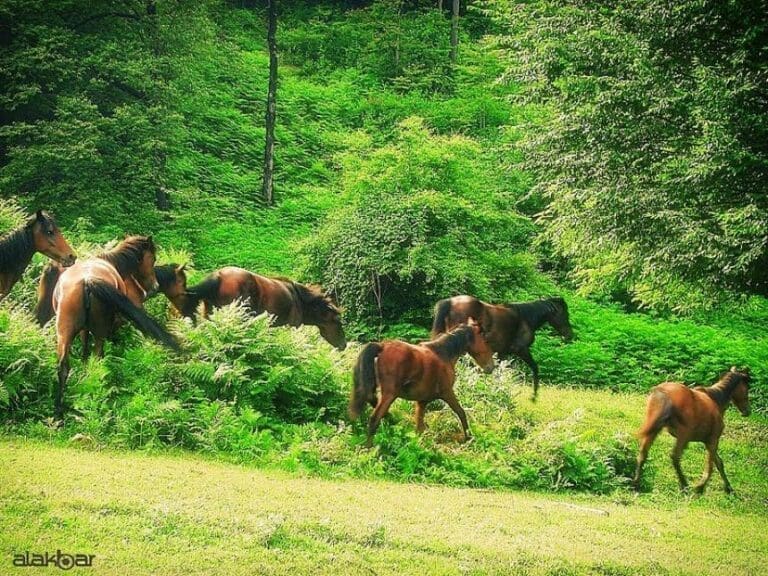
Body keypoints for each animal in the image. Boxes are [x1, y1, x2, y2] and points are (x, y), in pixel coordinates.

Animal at [52, 236, 180, 418]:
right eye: (153, 258)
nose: (155, 287)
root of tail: (87, 281)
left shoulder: (84, 329)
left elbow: (84, 350)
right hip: (99, 333)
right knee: (97, 359)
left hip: (64, 334)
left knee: (63, 367)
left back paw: (59, 410)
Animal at [349, 319, 495, 448]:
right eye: (485, 340)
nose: (491, 367)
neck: (443, 354)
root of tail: (382, 346)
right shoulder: (447, 392)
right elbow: (461, 412)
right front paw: (469, 438)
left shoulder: (422, 401)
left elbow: (419, 426)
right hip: (390, 394)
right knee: (374, 418)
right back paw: (369, 448)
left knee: (372, 400)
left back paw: (392, 421)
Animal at [431, 295, 573, 398]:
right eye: (565, 314)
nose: (569, 335)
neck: (525, 318)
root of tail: (450, 302)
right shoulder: (521, 350)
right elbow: (534, 367)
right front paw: (534, 396)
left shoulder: (502, 353)